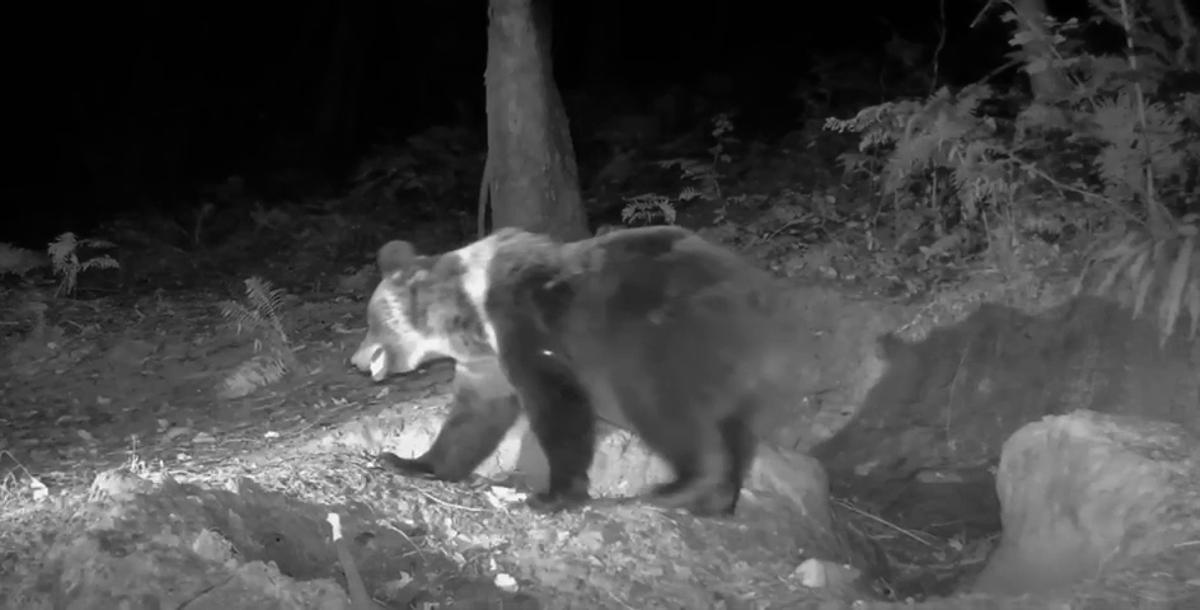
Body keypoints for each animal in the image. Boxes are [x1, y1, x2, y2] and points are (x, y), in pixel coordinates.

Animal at [350, 225, 804, 517]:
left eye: (371, 321)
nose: (355, 359)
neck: (471, 320)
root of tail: (762, 296)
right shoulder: (487, 363)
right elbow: (473, 419)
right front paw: (408, 461)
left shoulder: (525, 324)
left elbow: (556, 403)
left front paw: (554, 495)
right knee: (734, 426)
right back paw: (717, 501)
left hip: (664, 332)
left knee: (659, 402)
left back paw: (677, 487)